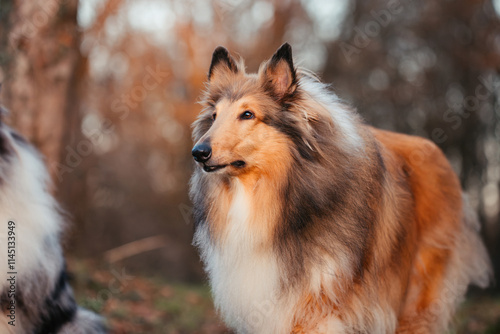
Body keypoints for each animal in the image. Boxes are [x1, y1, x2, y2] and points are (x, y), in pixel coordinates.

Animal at [191, 43, 492, 332]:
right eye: (215, 116)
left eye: (248, 114)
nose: (198, 152)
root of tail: (438, 154)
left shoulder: (314, 307)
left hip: (418, 293)